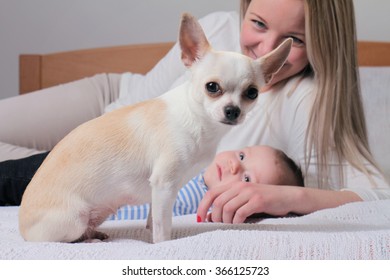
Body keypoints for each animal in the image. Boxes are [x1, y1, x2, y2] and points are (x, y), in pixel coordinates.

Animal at [19, 12, 292, 243]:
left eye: (252, 93)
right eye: (212, 87)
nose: (233, 111)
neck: (199, 123)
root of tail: (22, 229)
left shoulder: (161, 190)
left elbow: (153, 218)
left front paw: (149, 230)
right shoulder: (164, 184)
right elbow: (163, 228)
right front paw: (162, 244)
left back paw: (94, 233)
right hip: (73, 219)